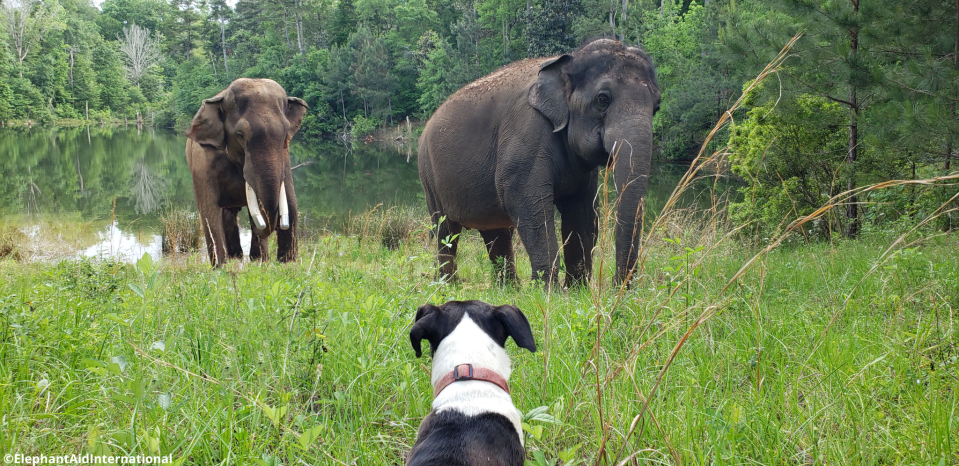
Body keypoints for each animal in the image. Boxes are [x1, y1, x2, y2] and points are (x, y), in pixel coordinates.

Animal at [185, 78, 308, 264]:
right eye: (240, 135)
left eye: (285, 134)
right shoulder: (203, 162)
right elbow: (209, 212)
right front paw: (220, 267)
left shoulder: (284, 156)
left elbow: (290, 203)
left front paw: (286, 263)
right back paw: (237, 257)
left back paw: (250, 257)